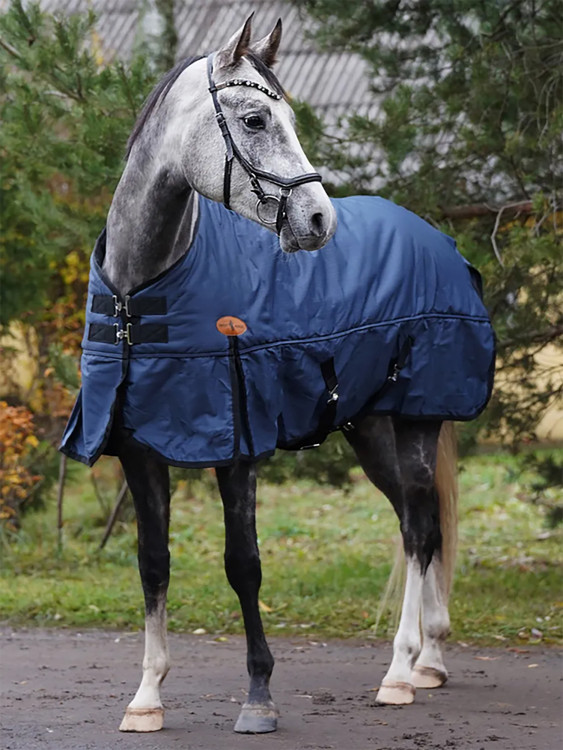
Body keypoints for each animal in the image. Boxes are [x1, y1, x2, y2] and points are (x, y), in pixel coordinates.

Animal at [60, 17, 494, 736]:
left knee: (415, 527)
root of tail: (440, 243)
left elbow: (243, 565)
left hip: (417, 419)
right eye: (256, 118)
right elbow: (153, 565)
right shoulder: (137, 449)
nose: (319, 221)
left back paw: (399, 671)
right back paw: (428, 661)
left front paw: (258, 695)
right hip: (370, 428)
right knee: (423, 521)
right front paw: (147, 697)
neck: (138, 292)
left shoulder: (236, 445)